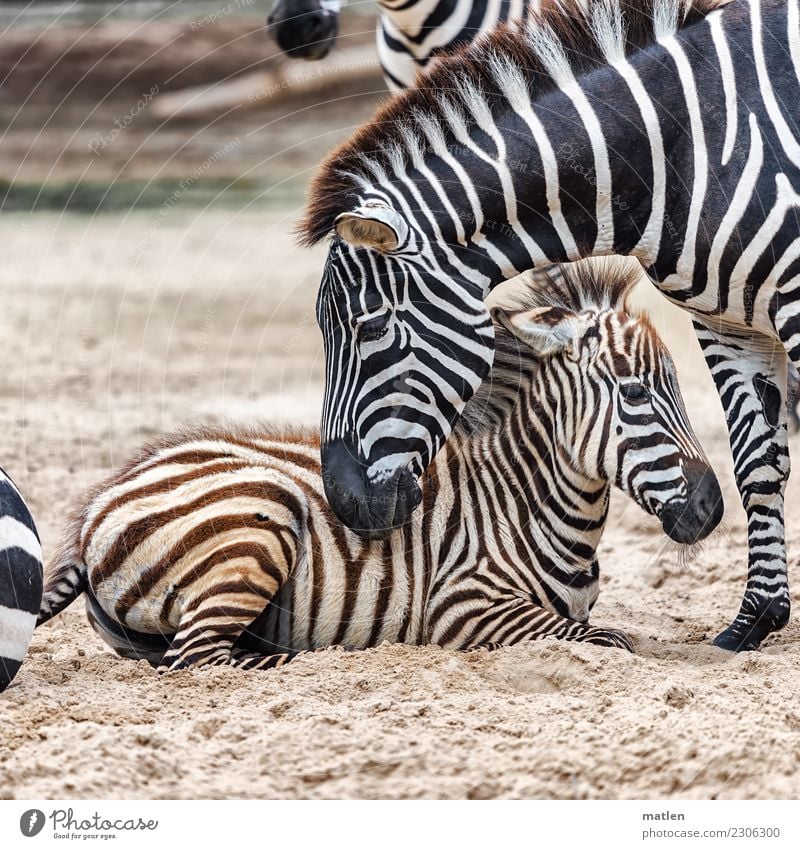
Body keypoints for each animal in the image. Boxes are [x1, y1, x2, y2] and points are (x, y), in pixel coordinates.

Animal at [36, 262, 720, 672]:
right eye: (635, 392)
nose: (713, 508)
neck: (529, 503)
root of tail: (96, 504)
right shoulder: (461, 604)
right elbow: (602, 641)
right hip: (256, 526)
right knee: (201, 659)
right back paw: (305, 664)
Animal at [302, 0, 800, 652]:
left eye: (370, 326)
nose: (344, 502)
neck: (680, 150)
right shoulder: (725, 323)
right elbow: (759, 465)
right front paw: (753, 622)